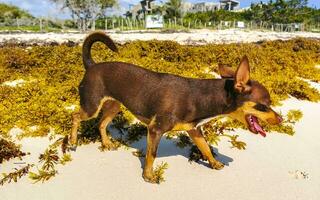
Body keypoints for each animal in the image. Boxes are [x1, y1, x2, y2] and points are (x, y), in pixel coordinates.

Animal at [70, 31, 282, 183]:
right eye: (264, 105)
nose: (280, 119)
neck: (201, 96)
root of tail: (91, 65)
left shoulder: (194, 131)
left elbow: (206, 149)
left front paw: (214, 163)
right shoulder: (155, 130)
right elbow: (152, 154)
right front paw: (148, 175)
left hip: (114, 105)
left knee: (101, 123)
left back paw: (106, 143)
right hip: (91, 106)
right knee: (76, 116)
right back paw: (72, 141)